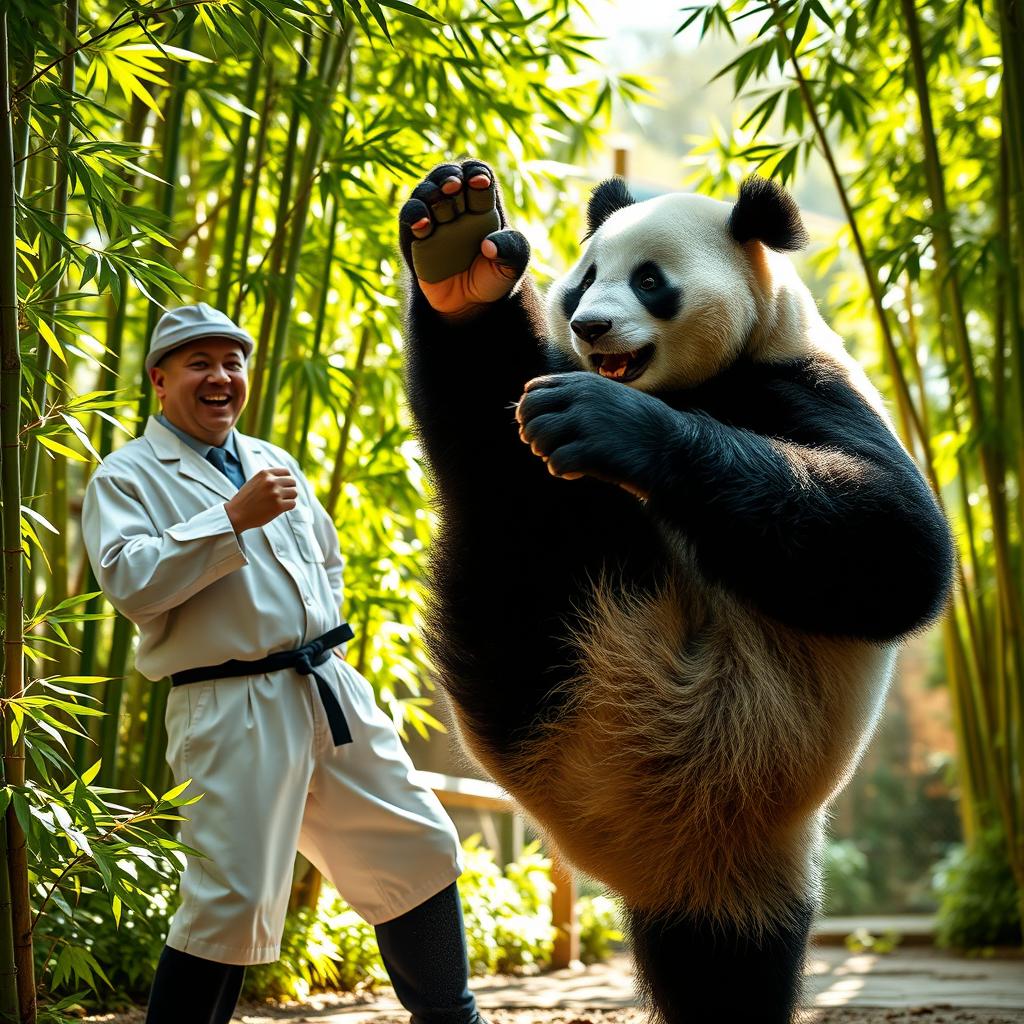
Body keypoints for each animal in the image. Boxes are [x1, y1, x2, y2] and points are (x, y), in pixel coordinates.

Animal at [397, 159, 950, 1024]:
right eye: (588, 276)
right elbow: (497, 389)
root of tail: (669, 859)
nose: (589, 326)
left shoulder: (800, 383)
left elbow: (896, 545)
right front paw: (456, 244)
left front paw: (607, 422)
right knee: (494, 464)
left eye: (650, 281)